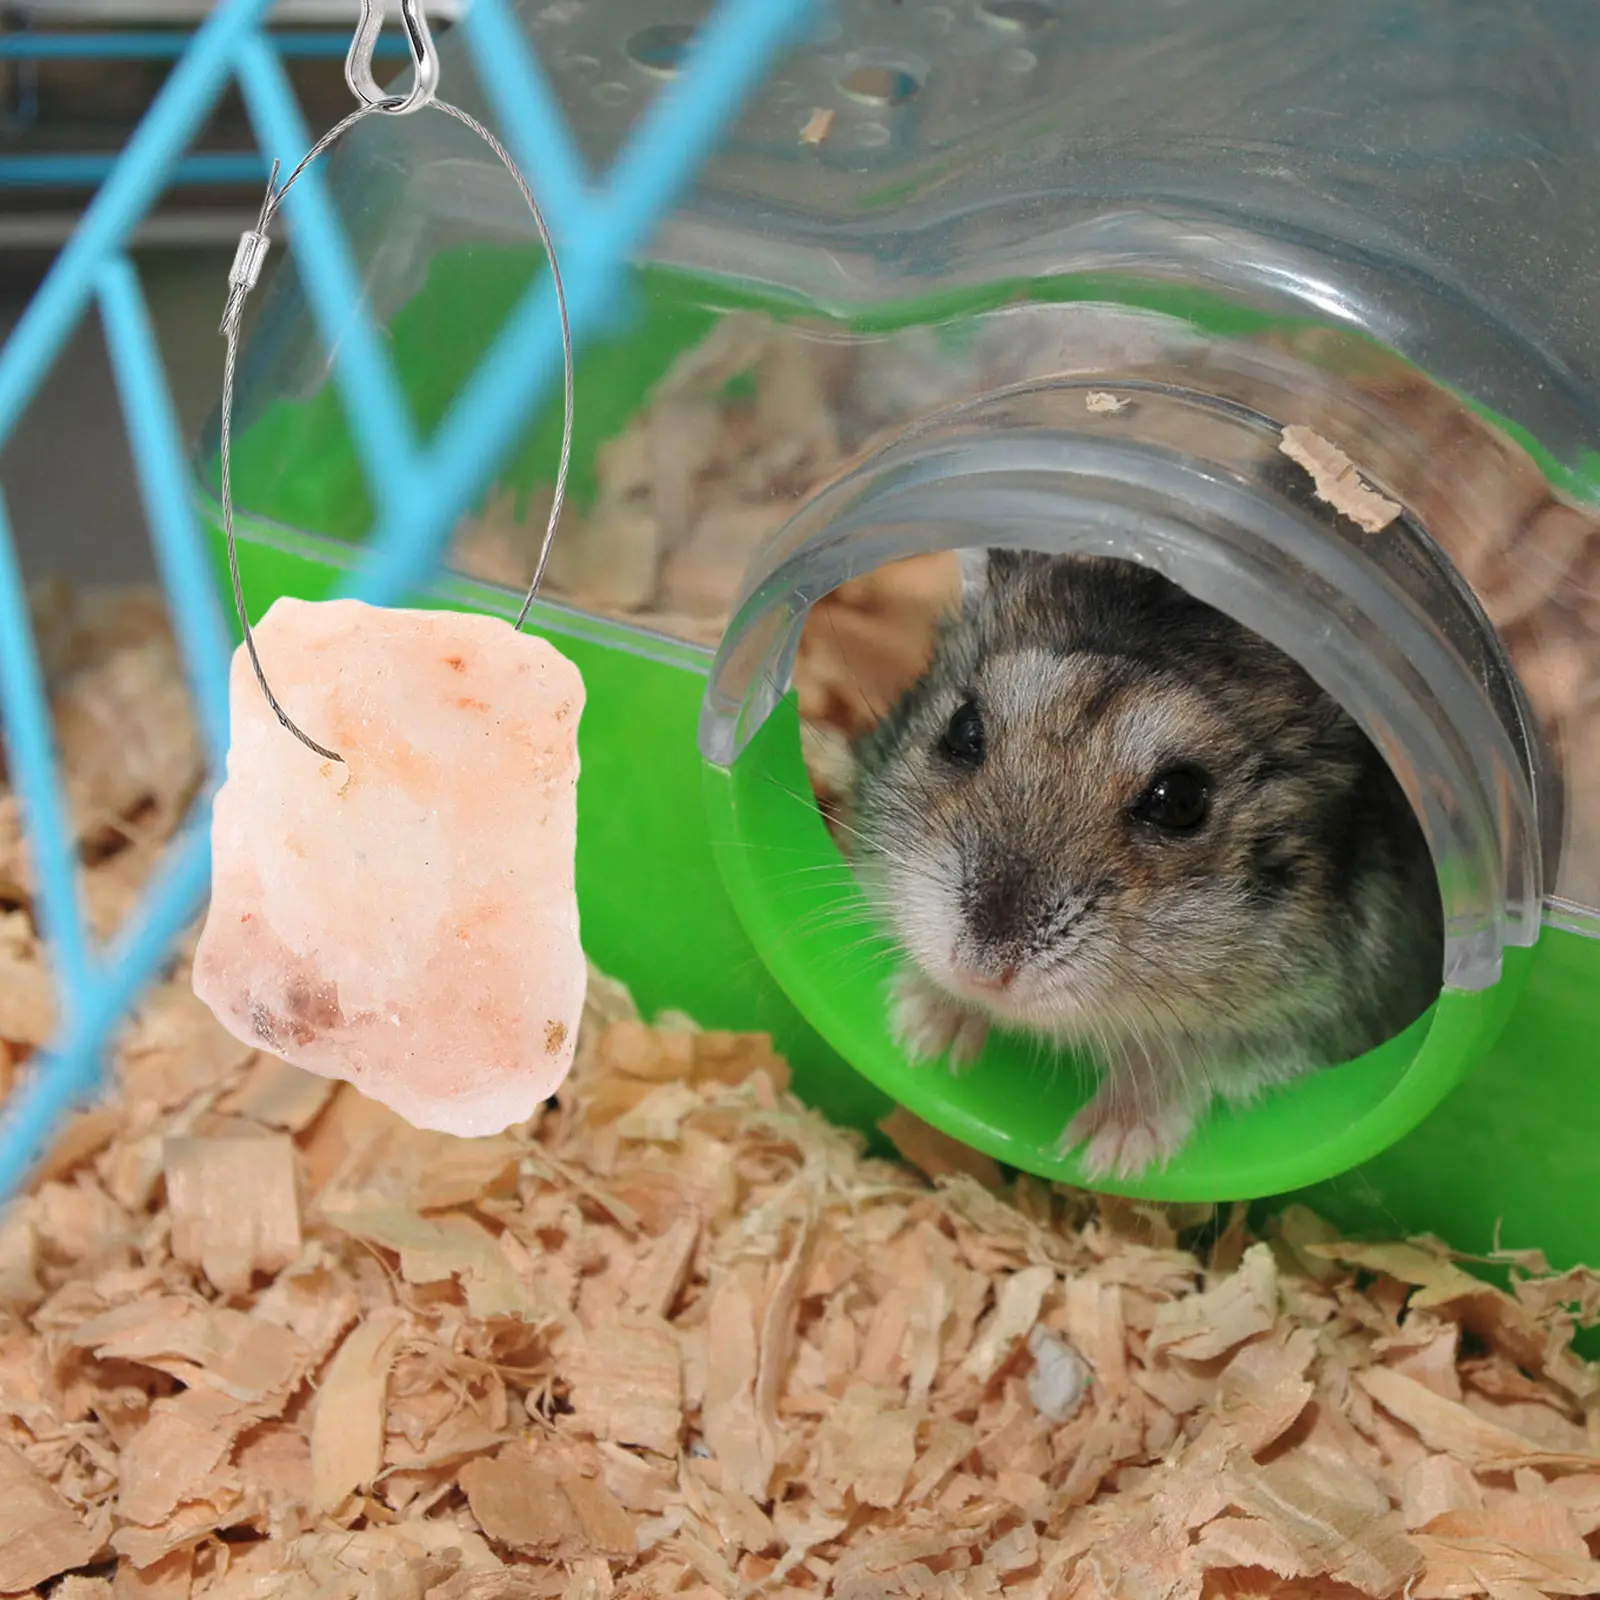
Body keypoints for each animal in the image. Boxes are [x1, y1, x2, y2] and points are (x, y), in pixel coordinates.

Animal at [847, 549, 1443, 1181]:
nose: (980, 973)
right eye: (963, 729)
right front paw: (917, 1031)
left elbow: (1187, 1055)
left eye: (1179, 800)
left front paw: (1102, 1153)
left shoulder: (1316, 1020)